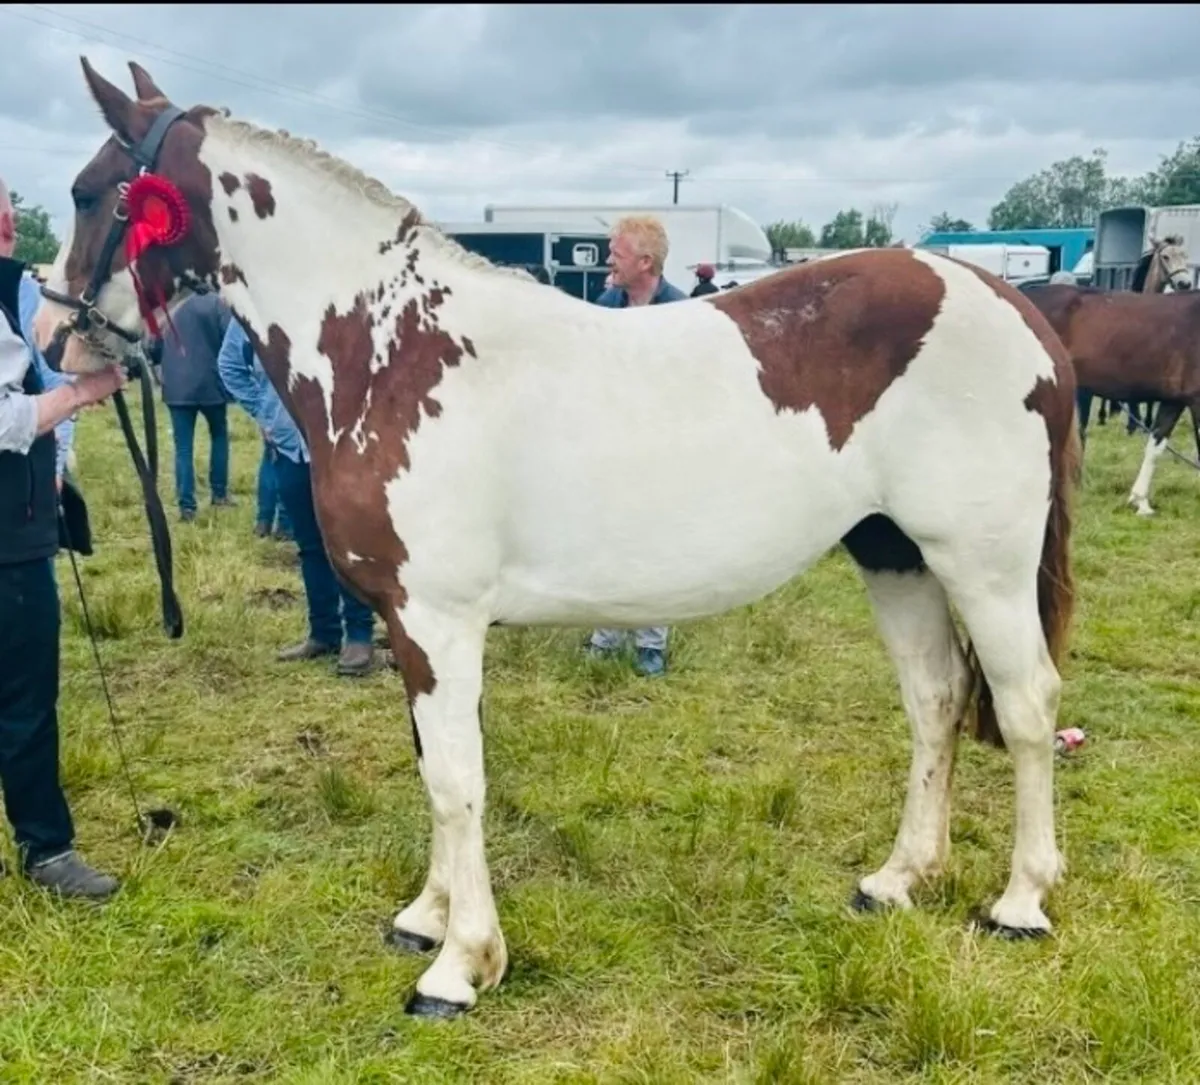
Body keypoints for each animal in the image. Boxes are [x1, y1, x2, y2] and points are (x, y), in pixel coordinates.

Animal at [35, 59, 1081, 1017]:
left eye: (89, 192)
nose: (53, 342)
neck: (391, 354)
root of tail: (1018, 311)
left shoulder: (437, 621)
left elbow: (457, 780)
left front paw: (460, 965)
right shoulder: (413, 628)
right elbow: (433, 766)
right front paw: (426, 914)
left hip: (982, 565)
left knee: (1027, 705)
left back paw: (1020, 901)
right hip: (894, 553)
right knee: (937, 700)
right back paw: (898, 878)